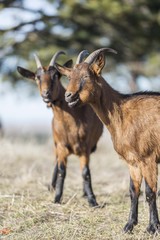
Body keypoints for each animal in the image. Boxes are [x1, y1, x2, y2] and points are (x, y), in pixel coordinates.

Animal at [16, 51, 103, 206]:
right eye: (37, 77)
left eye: (56, 75)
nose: (46, 94)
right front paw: (57, 198)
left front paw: (92, 200)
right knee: (56, 163)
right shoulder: (61, 146)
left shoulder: (85, 148)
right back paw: (52, 186)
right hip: (56, 145)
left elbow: (85, 173)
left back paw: (83, 193)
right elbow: (62, 170)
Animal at [54, 47, 160, 233]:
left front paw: (153, 227)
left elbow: (150, 192)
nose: (69, 96)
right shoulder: (132, 162)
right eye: (69, 76)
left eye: (86, 76)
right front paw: (129, 225)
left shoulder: (148, 159)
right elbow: (133, 191)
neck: (122, 113)